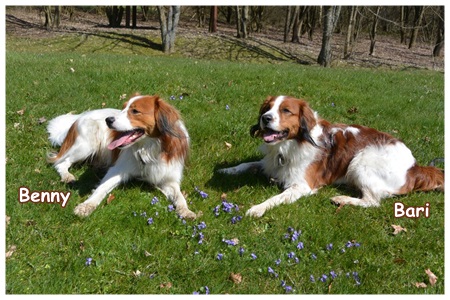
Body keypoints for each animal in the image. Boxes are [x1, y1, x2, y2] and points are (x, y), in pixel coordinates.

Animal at [46, 92, 196, 219]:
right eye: (123, 108)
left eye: (135, 111)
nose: (108, 120)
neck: (148, 149)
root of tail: (79, 117)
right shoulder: (118, 169)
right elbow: (101, 188)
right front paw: (87, 205)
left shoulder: (168, 178)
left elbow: (179, 196)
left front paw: (186, 211)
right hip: (85, 146)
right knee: (60, 162)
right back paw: (67, 176)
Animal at [220, 95, 444, 217]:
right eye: (267, 108)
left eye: (286, 111)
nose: (265, 118)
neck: (291, 144)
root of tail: (415, 166)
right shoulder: (270, 163)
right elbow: (247, 164)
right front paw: (227, 170)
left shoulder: (302, 186)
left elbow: (276, 198)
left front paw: (258, 208)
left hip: (360, 160)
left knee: (372, 201)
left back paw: (342, 199)